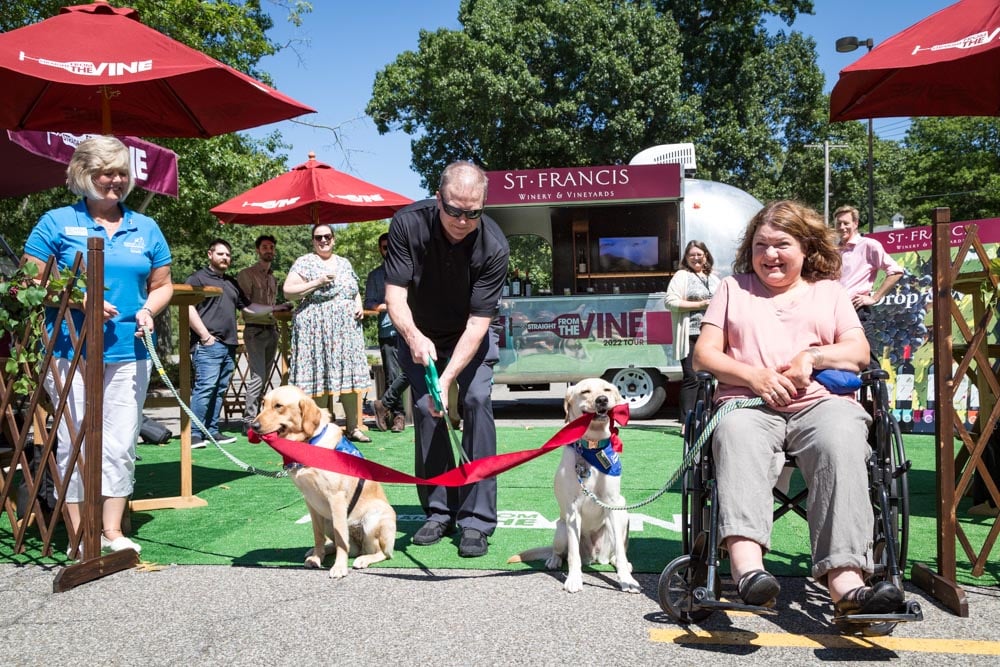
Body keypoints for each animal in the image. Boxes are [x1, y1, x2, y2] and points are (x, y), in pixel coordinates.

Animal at [252, 386, 396, 580]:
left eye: (278, 406)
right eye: (263, 404)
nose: (253, 426)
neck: (309, 442)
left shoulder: (336, 498)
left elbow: (341, 539)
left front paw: (339, 567)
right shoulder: (311, 502)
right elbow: (318, 535)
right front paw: (316, 557)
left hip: (373, 518)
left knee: (381, 552)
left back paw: (364, 559)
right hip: (328, 519)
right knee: (346, 546)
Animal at [508, 378, 640, 592]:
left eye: (607, 390)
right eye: (585, 392)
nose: (602, 400)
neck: (592, 448)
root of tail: (595, 557)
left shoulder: (612, 505)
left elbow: (620, 552)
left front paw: (627, 580)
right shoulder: (572, 512)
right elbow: (572, 556)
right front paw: (574, 580)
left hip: (623, 515)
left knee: (615, 552)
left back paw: (622, 564)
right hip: (561, 528)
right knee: (560, 551)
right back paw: (553, 560)